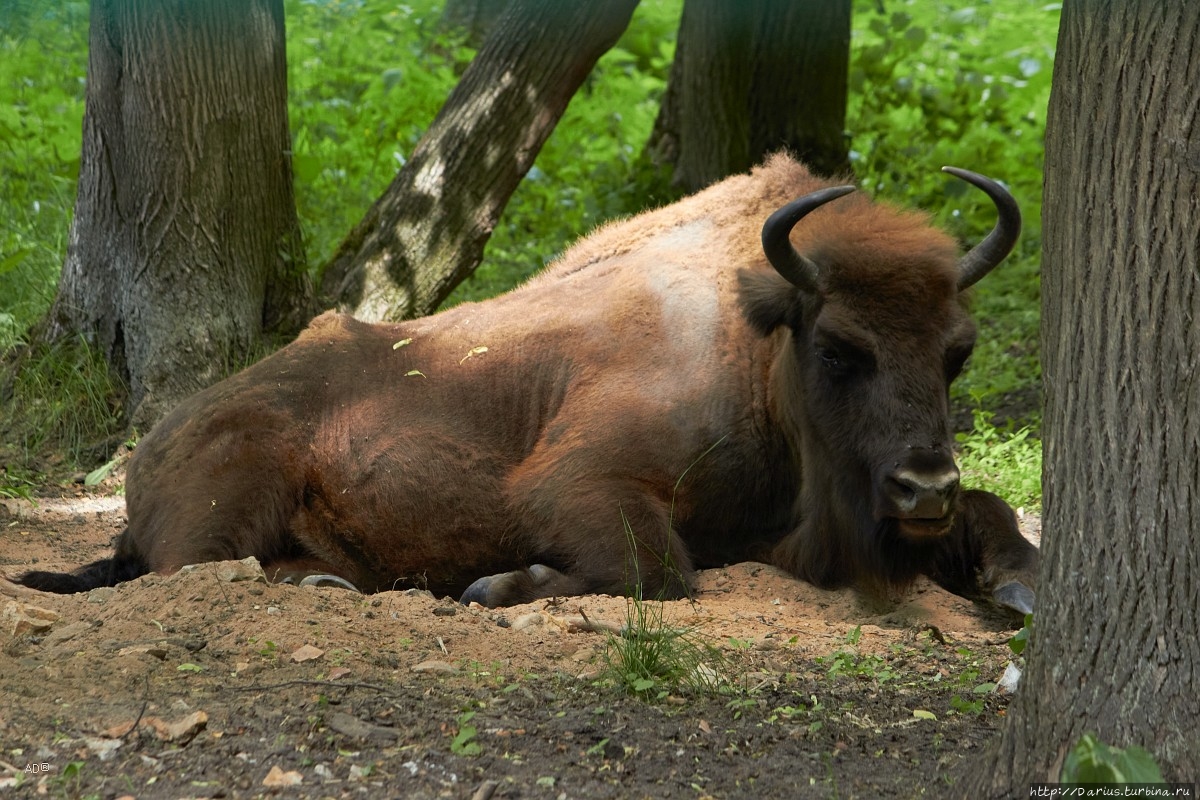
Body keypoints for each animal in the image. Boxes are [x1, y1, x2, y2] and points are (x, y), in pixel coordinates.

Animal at [16, 154, 1041, 614]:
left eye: (957, 351)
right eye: (837, 347)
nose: (923, 487)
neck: (754, 345)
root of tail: (149, 453)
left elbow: (1000, 512)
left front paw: (1019, 585)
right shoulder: (577, 481)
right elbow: (658, 571)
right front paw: (494, 584)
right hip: (230, 497)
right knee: (199, 569)